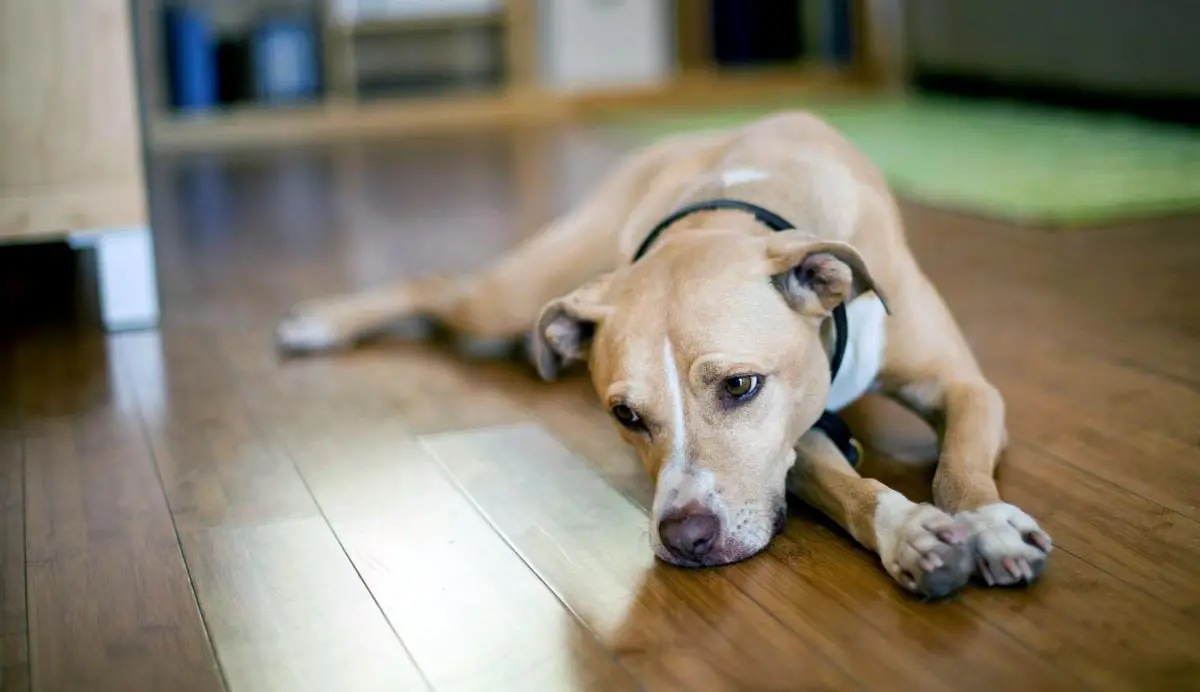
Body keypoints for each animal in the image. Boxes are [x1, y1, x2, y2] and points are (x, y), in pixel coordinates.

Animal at [276, 110, 1056, 597]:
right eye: (625, 416)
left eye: (740, 386)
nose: (686, 538)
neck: (734, 208)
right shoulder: (791, 447)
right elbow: (849, 488)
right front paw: (912, 534)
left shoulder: (961, 385)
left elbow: (960, 465)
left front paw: (988, 524)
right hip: (519, 292)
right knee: (440, 286)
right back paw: (317, 324)